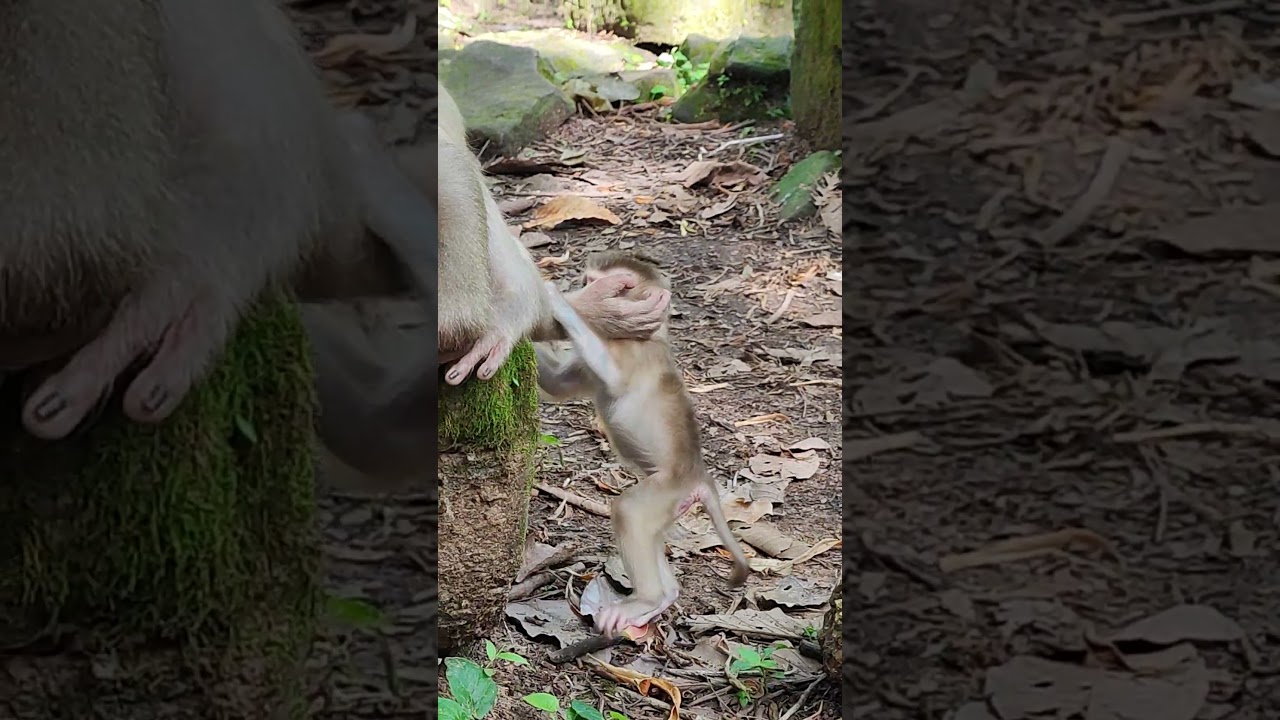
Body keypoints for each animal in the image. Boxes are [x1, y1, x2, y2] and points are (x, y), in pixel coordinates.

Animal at [536, 253, 751, 637]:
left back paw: (647, 598)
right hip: (673, 503)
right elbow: (556, 383)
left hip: (666, 488)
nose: (581, 286)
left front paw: (557, 300)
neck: (644, 336)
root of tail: (698, 476)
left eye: (602, 283)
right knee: (647, 530)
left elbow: (614, 379)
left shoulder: (634, 353)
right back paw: (664, 597)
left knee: (630, 511)